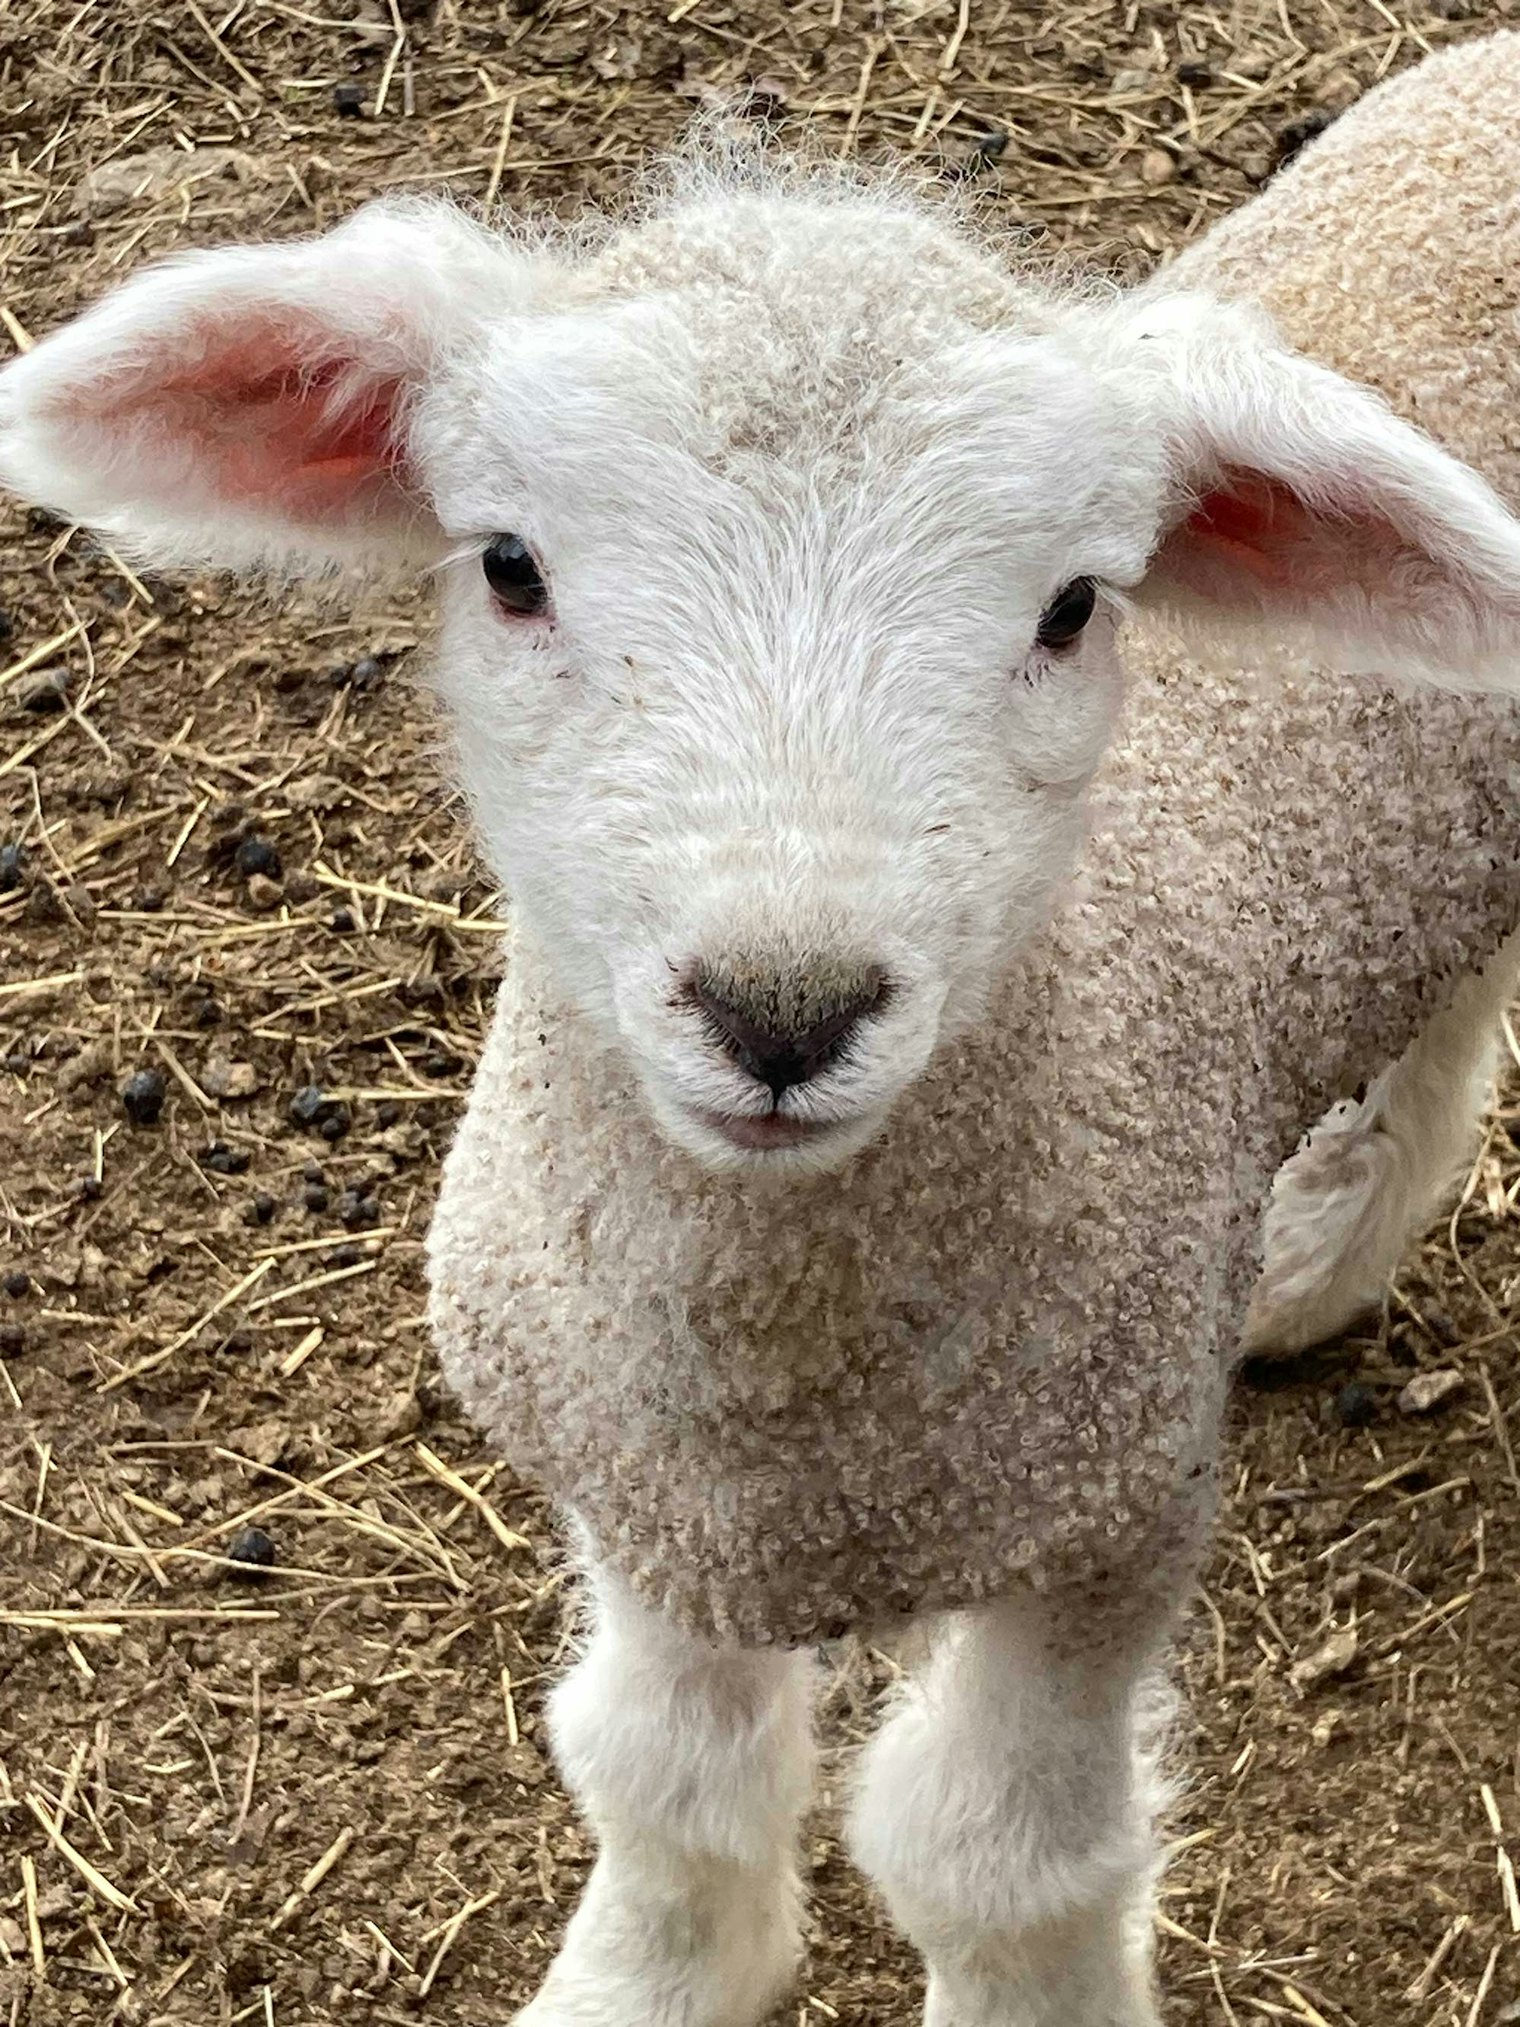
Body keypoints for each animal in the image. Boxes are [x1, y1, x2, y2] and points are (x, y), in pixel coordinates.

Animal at [3, 29, 1520, 2025]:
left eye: (1073, 605)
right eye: (508, 564)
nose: (781, 1010)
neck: (792, 1418)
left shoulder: (1112, 1513)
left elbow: (1002, 1859)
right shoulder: (640, 1487)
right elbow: (662, 1778)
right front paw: (638, 1981)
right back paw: (1324, 1240)